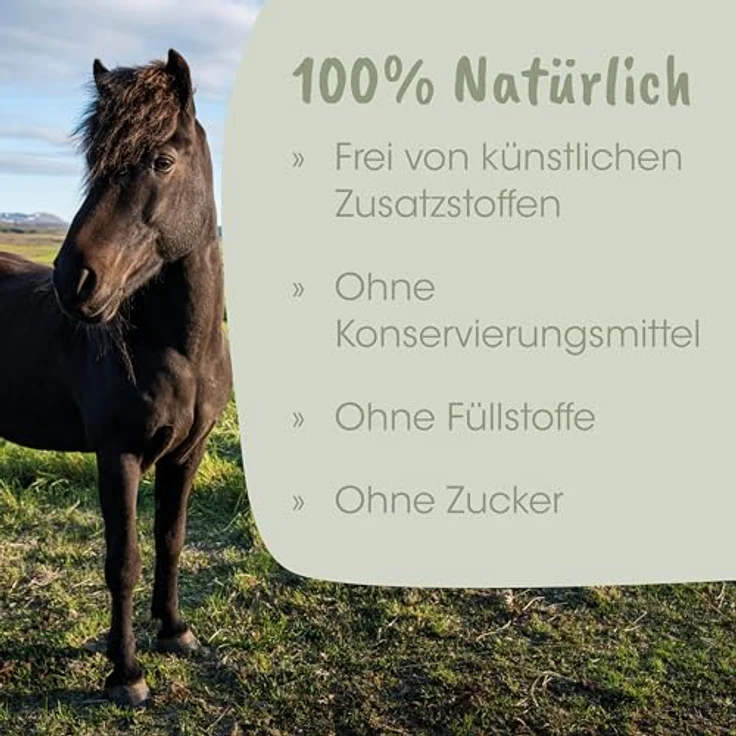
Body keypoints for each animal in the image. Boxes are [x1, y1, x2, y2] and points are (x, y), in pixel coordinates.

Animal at [0, 50, 232, 707]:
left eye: (162, 160)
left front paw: (175, 632)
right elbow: (122, 560)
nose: (73, 280)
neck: (180, 351)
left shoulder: (189, 453)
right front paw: (125, 672)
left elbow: (171, 538)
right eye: (93, 164)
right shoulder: (118, 454)